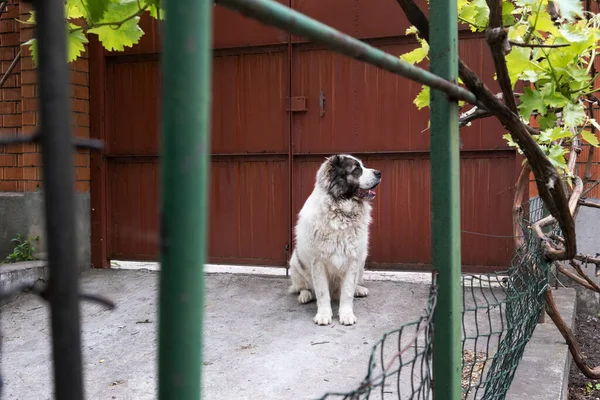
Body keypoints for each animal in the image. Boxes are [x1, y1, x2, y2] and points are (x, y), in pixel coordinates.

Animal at [288, 153, 382, 324]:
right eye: (356, 169)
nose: (379, 173)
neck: (340, 212)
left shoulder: (353, 260)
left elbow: (347, 293)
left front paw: (346, 314)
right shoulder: (318, 263)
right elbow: (322, 293)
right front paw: (324, 315)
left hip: (362, 260)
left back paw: (359, 289)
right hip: (295, 262)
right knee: (301, 287)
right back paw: (305, 295)